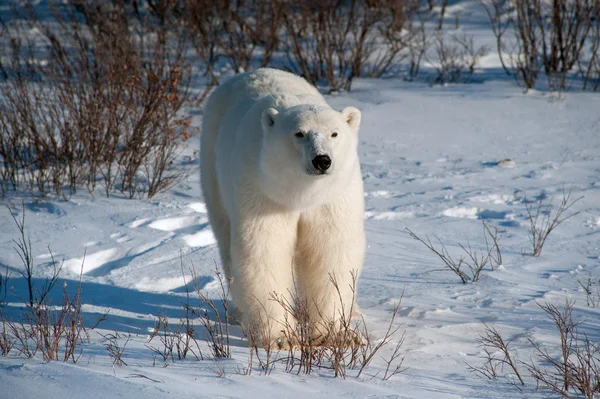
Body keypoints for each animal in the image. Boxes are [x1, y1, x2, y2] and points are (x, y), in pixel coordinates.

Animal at [200, 69, 366, 350]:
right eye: (299, 133)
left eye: (334, 133)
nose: (321, 160)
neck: (301, 194)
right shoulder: (263, 192)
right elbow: (265, 250)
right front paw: (281, 338)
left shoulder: (332, 198)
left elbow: (331, 253)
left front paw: (338, 336)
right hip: (213, 165)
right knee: (224, 234)